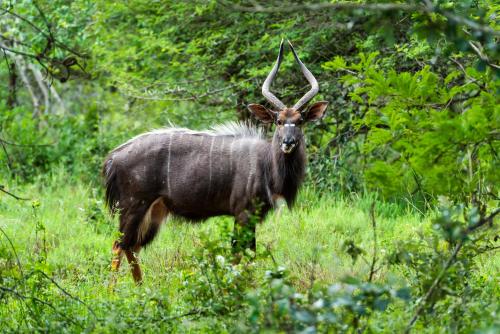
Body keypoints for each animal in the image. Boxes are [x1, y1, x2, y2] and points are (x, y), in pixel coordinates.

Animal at [102, 40, 328, 284]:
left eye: (300, 121)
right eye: (278, 121)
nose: (288, 142)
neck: (266, 165)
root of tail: (114, 158)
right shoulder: (243, 213)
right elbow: (241, 255)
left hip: (155, 212)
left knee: (132, 247)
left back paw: (141, 288)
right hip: (133, 206)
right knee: (119, 245)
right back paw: (114, 291)